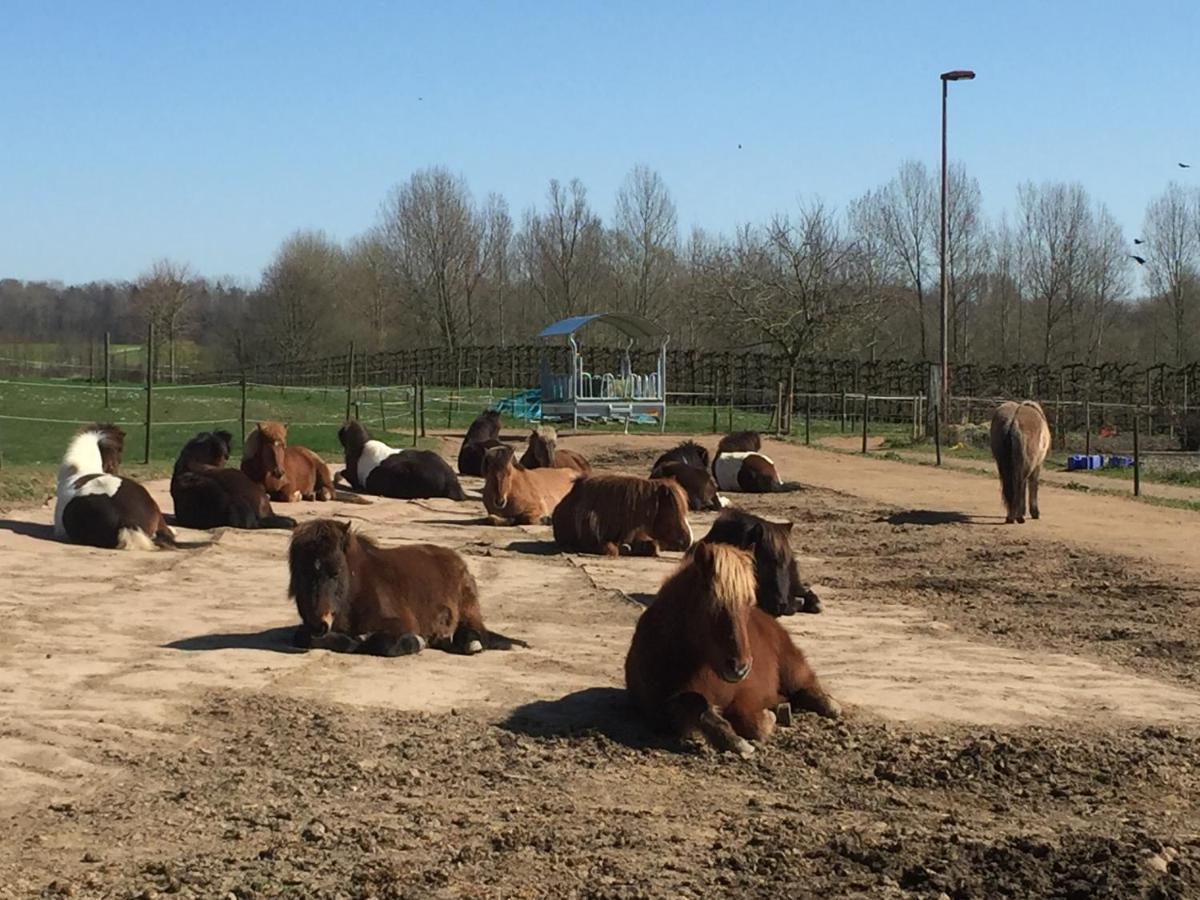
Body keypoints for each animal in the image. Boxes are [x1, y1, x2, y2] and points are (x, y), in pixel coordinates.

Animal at [288, 518, 528, 657]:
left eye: (335, 572)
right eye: (301, 572)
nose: (319, 623)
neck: (356, 590)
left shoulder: (401, 624)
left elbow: (381, 644)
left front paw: (416, 642)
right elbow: (304, 637)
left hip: (468, 609)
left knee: (477, 632)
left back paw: (467, 643)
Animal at [624, 542, 840, 763]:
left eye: (748, 604)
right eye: (713, 606)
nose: (740, 668)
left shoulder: (744, 696)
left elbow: (752, 723)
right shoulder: (660, 709)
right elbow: (694, 704)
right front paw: (736, 739)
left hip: (792, 668)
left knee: (808, 689)